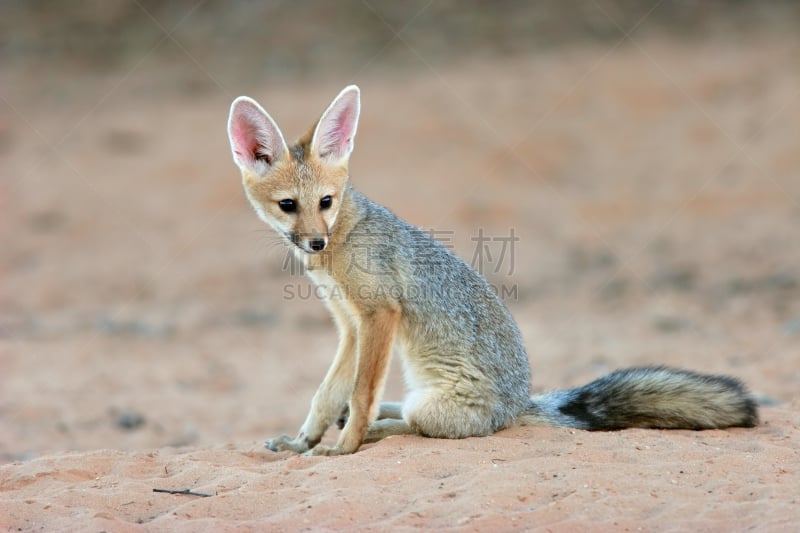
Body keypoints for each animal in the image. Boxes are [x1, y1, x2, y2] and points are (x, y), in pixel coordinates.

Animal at [225, 85, 756, 456]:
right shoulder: (351, 326)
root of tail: (518, 405)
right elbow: (328, 394)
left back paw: (379, 428)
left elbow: (358, 395)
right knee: (397, 408)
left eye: (326, 202)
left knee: (412, 425)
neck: (343, 240)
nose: (315, 241)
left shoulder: (378, 315)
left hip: (431, 406)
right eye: (288, 205)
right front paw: (303, 442)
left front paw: (345, 447)